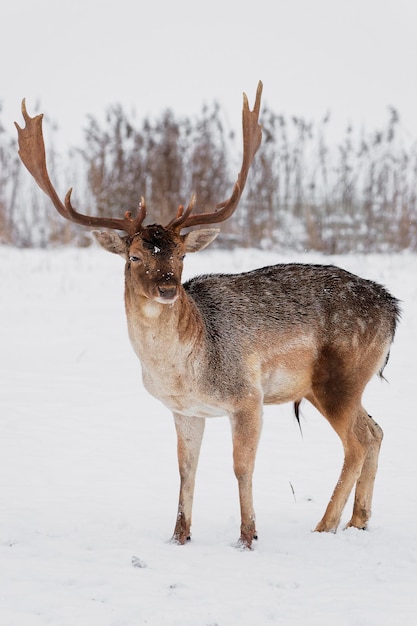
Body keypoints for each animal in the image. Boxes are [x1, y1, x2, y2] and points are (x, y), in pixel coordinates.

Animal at [17, 83, 400, 544]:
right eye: (134, 256)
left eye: (181, 255)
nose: (167, 288)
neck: (184, 369)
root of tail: (393, 309)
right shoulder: (184, 410)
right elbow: (186, 470)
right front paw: (179, 536)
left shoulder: (247, 395)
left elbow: (241, 467)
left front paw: (248, 536)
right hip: (330, 385)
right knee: (376, 431)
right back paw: (359, 521)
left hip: (339, 378)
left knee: (357, 441)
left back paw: (325, 525)